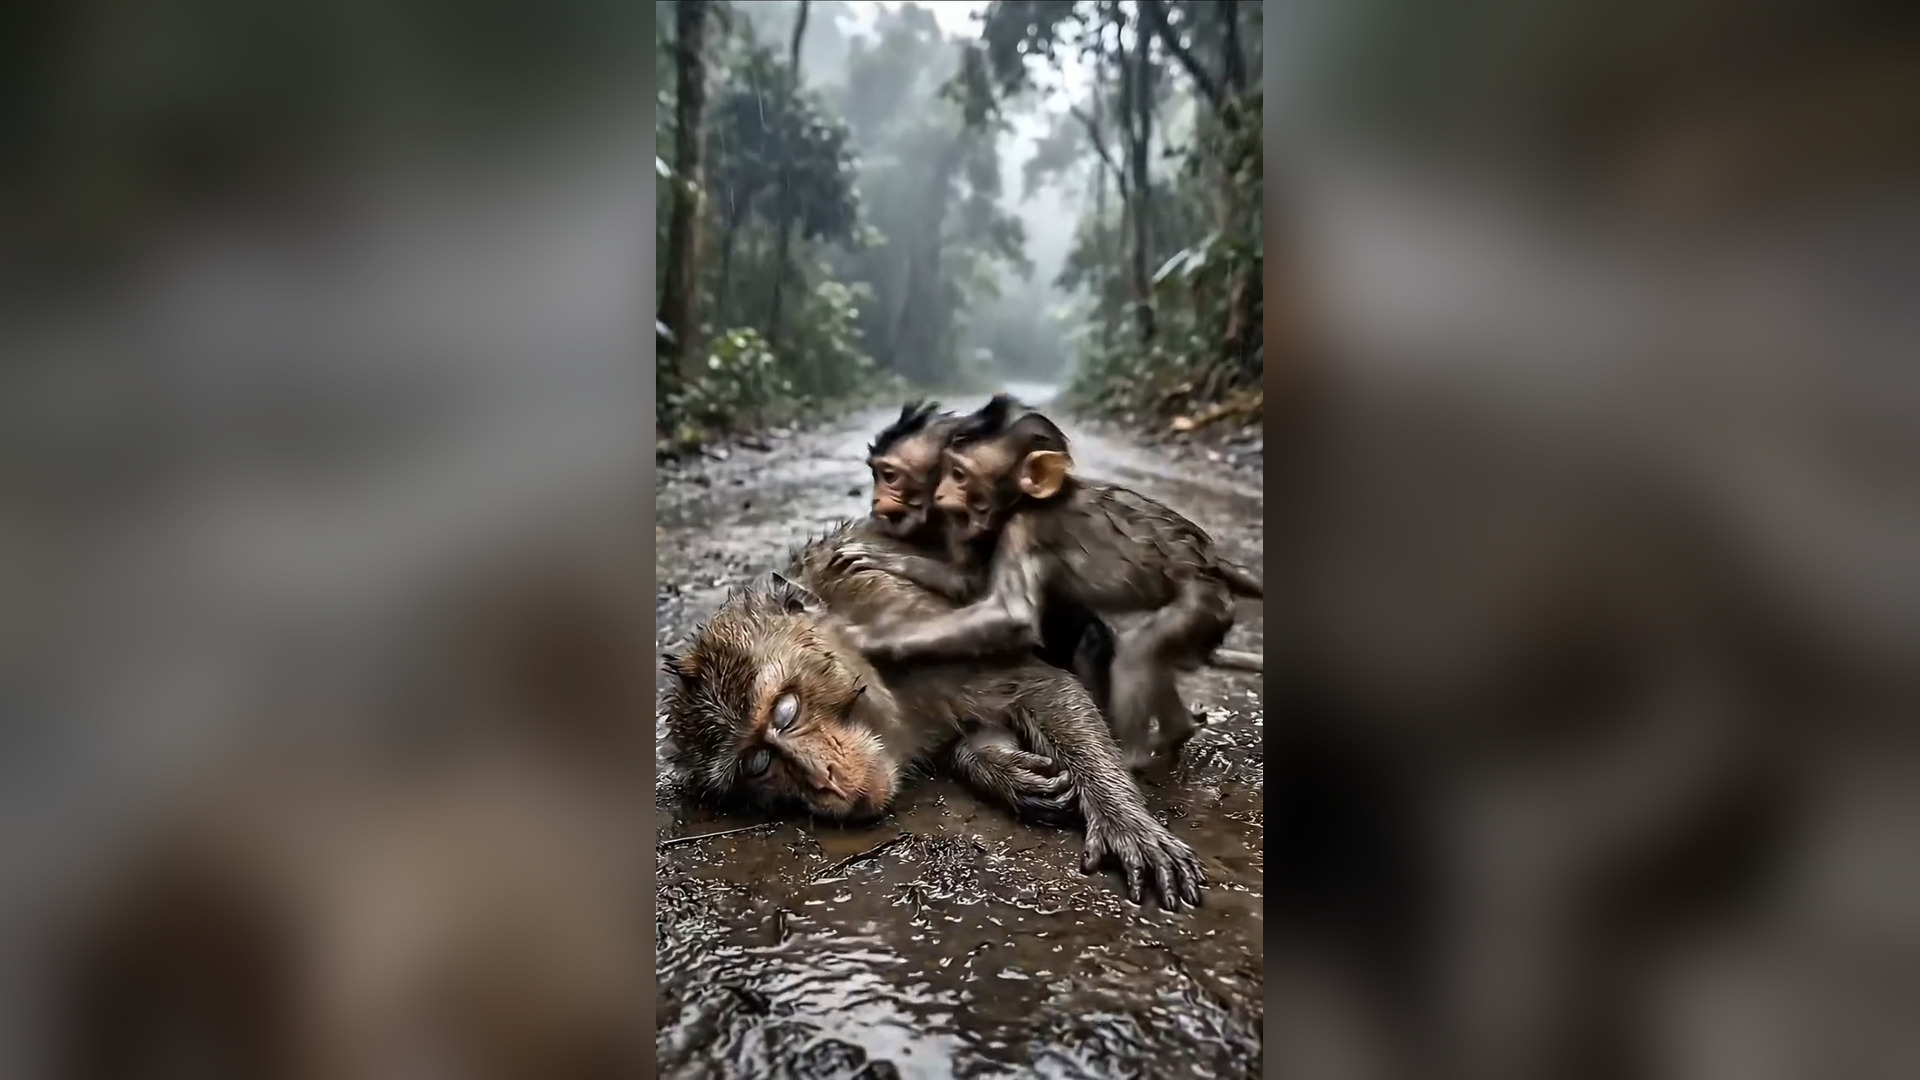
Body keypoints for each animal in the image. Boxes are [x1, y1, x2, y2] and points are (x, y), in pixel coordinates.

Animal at [660, 519, 1205, 911]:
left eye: (786, 711)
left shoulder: (917, 631)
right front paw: (1000, 769)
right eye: (757, 766)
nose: (823, 780)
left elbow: (1045, 686)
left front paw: (1124, 819)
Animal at [834, 394, 1264, 769]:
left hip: (1201, 602)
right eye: (876, 474)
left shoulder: (1019, 527)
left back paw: (1133, 756)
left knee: (1135, 649)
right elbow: (965, 581)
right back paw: (1178, 730)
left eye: (890, 476)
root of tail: (1211, 564)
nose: (875, 500)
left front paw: (868, 638)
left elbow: (1008, 614)